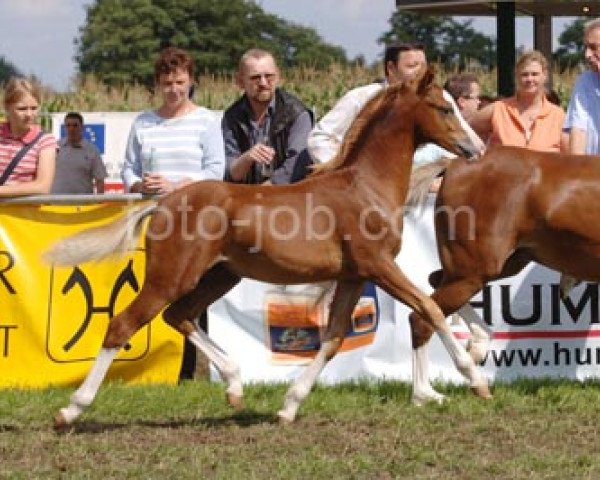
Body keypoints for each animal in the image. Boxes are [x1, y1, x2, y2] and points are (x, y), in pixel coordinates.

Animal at [44, 68, 480, 428]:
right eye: (445, 108)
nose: (475, 148)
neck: (365, 186)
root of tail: (163, 202)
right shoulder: (380, 265)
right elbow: (429, 308)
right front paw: (474, 375)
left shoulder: (354, 275)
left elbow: (334, 338)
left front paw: (289, 406)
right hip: (170, 277)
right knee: (122, 325)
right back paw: (70, 410)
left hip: (221, 276)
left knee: (180, 315)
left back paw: (235, 386)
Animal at [408, 146, 600, 404]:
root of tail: (455, 164)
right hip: (473, 270)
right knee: (421, 318)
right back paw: (429, 394)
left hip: (499, 264)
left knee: (434, 285)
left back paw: (478, 346)